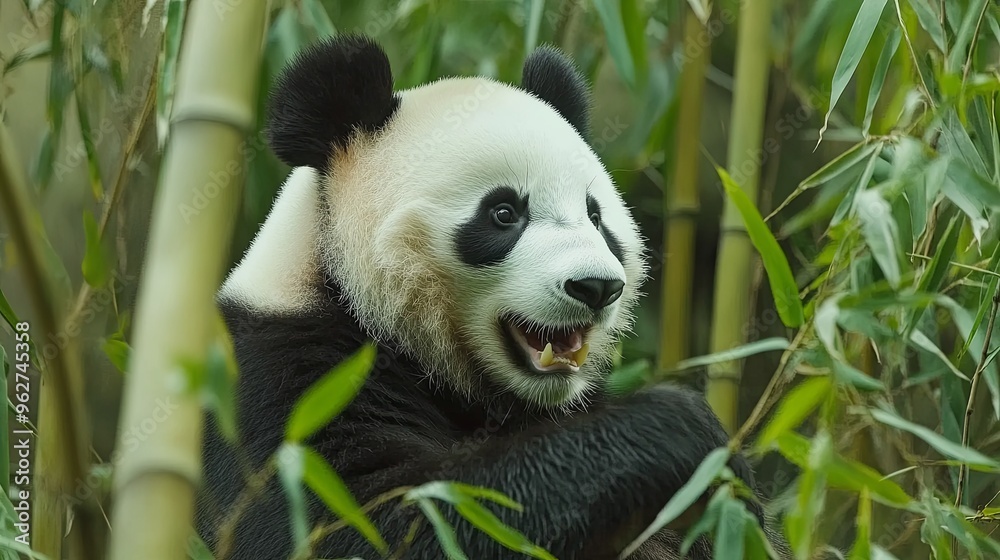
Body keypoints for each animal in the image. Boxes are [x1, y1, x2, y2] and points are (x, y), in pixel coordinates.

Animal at [197, 33, 791, 560]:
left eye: (596, 216)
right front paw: (680, 435)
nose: (597, 286)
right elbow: (375, 525)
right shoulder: (285, 383)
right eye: (504, 213)